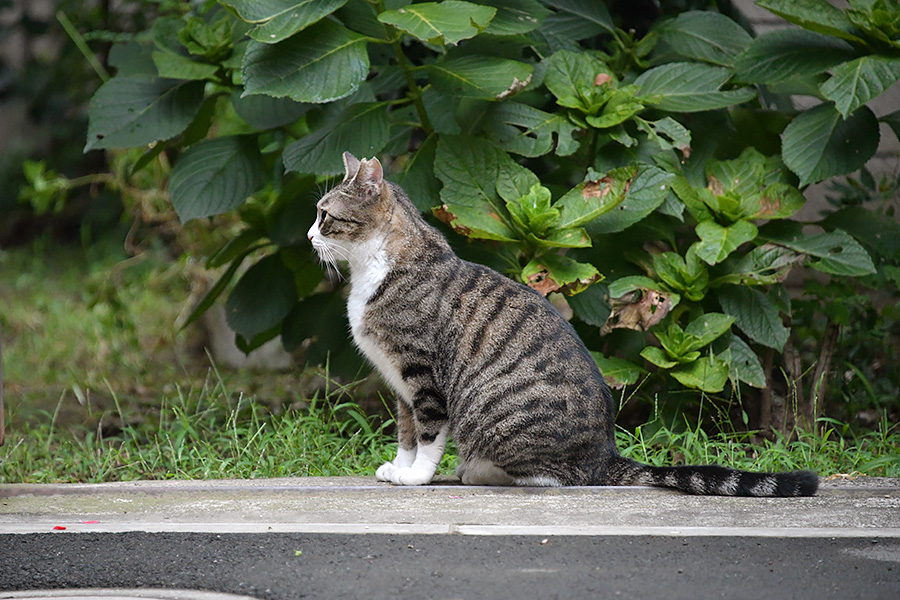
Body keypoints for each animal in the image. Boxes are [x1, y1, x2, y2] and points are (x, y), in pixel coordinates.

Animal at [306, 154, 820, 496]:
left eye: (325, 215)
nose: (310, 236)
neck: (372, 268)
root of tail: (605, 453)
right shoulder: (398, 382)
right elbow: (407, 433)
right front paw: (399, 466)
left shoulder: (421, 373)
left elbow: (429, 433)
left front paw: (416, 477)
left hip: (501, 416)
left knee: (557, 477)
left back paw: (481, 470)